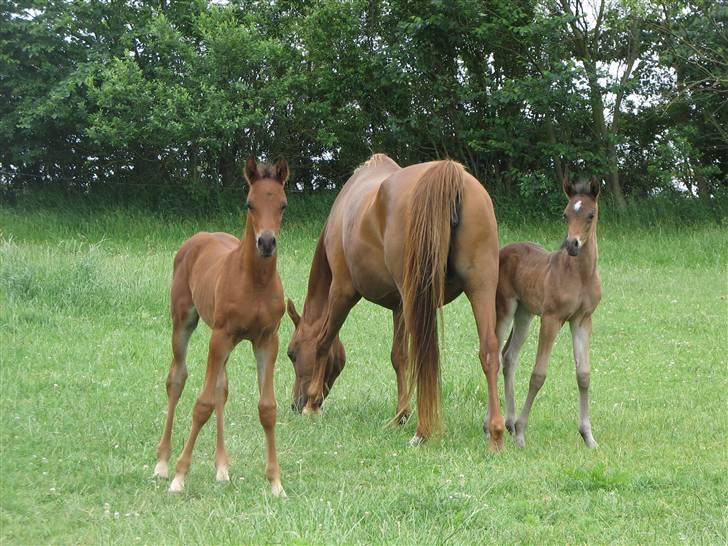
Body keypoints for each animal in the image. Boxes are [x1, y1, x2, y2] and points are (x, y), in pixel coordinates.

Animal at [152, 157, 288, 492]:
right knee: (177, 379)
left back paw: (222, 468)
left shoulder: (268, 340)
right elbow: (202, 404)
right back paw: (162, 464)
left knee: (221, 389)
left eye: (283, 204)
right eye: (250, 203)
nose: (267, 242)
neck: (255, 282)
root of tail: (199, 236)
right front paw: (179, 477)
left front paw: (275, 482)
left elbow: (267, 408)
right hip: (185, 322)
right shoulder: (220, 336)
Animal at [288, 153, 504, 446]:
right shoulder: (399, 305)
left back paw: (423, 432)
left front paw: (312, 405)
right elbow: (399, 357)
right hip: (480, 287)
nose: (295, 405)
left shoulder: (342, 291)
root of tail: (449, 174)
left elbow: (323, 341)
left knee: (425, 357)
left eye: (291, 353)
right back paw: (495, 432)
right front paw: (400, 415)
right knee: (489, 351)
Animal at [494, 176, 604, 448]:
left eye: (590, 214)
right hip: (505, 310)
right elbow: (538, 375)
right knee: (493, 355)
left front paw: (588, 436)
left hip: (524, 315)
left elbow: (584, 375)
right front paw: (522, 433)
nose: (572, 245)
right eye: (565, 214)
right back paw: (499, 425)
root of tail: (504, 250)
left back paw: (509, 423)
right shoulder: (552, 319)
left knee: (509, 357)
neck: (580, 276)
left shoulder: (582, 320)